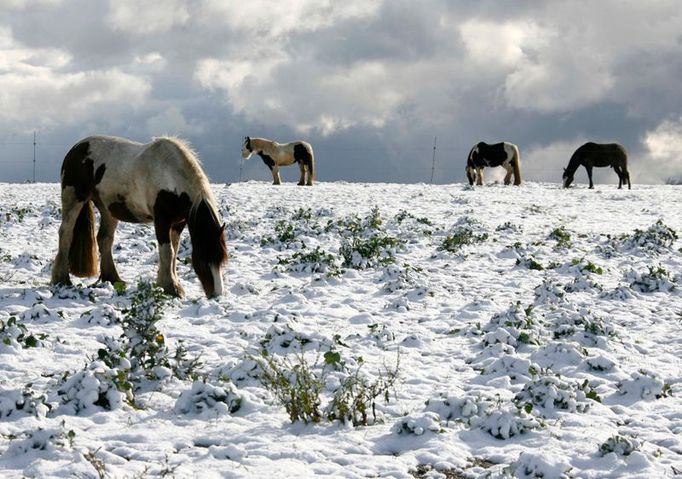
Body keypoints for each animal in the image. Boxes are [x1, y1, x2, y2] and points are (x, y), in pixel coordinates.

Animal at [51, 135, 226, 298]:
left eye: (222, 260)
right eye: (203, 260)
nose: (216, 294)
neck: (170, 175)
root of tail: (77, 148)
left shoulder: (178, 222)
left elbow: (174, 251)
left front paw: (169, 283)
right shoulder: (161, 219)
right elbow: (167, 251)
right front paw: (170, 287)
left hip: (107, 209)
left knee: (104, 239)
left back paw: (113, 278)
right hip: (74, 198)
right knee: (66, 233)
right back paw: (62, 279)